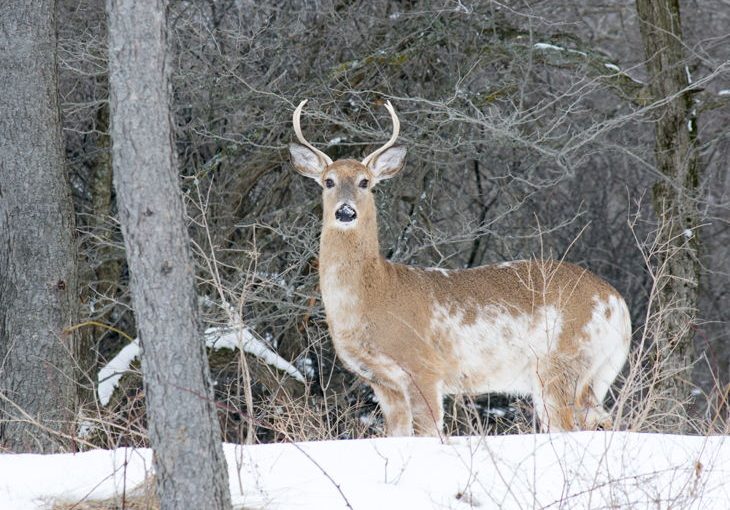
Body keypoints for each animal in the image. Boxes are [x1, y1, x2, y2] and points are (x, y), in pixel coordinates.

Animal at [289, 99, 631, 436]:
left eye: (365, 182)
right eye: (328, 181)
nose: (346, 211)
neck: (374, 293)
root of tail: (617, 304)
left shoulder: (424, 367)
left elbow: (429, 433)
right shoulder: (383, 383)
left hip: (561, 363)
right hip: (592, 374)